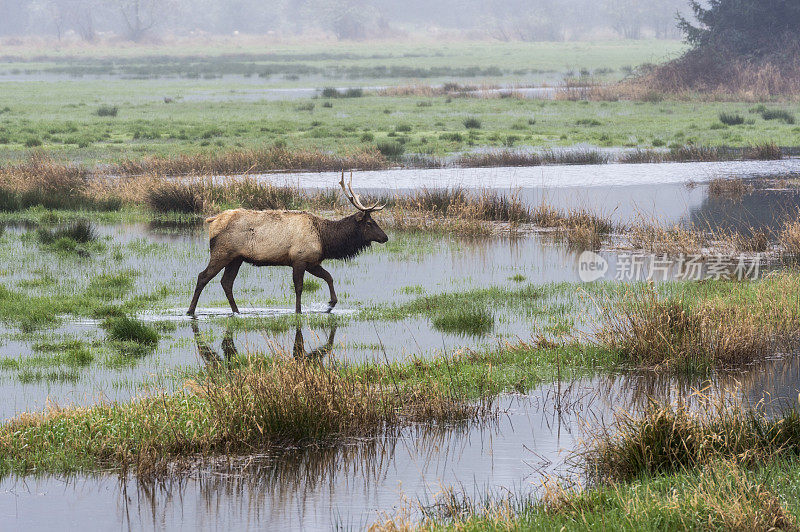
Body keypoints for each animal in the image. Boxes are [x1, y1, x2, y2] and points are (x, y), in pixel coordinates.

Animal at [188, 172, 388, 316]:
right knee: (203, 276)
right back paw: (191, 311)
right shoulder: (299, 259)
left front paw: (331, 303)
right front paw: (299, 311)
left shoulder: (312, 262)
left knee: (226, 282)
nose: (385, 237)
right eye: (369, 223)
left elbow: (329, 277)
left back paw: (237, 311)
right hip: (222, 252)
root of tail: (213, 221)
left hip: (236, 258)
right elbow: (299, 287)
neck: (325, 239)